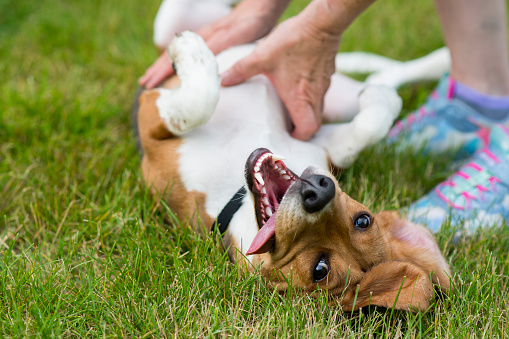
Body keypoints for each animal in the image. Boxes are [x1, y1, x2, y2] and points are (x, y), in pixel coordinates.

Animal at [135, 32, 448, 314]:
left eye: (320, 269)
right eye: (363, 220)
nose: (319, 191)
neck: (236, 197)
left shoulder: (151, 123)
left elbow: (198, 102)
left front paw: (189, 50)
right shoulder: (321, 139)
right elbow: (368, 127)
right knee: (381, 76)